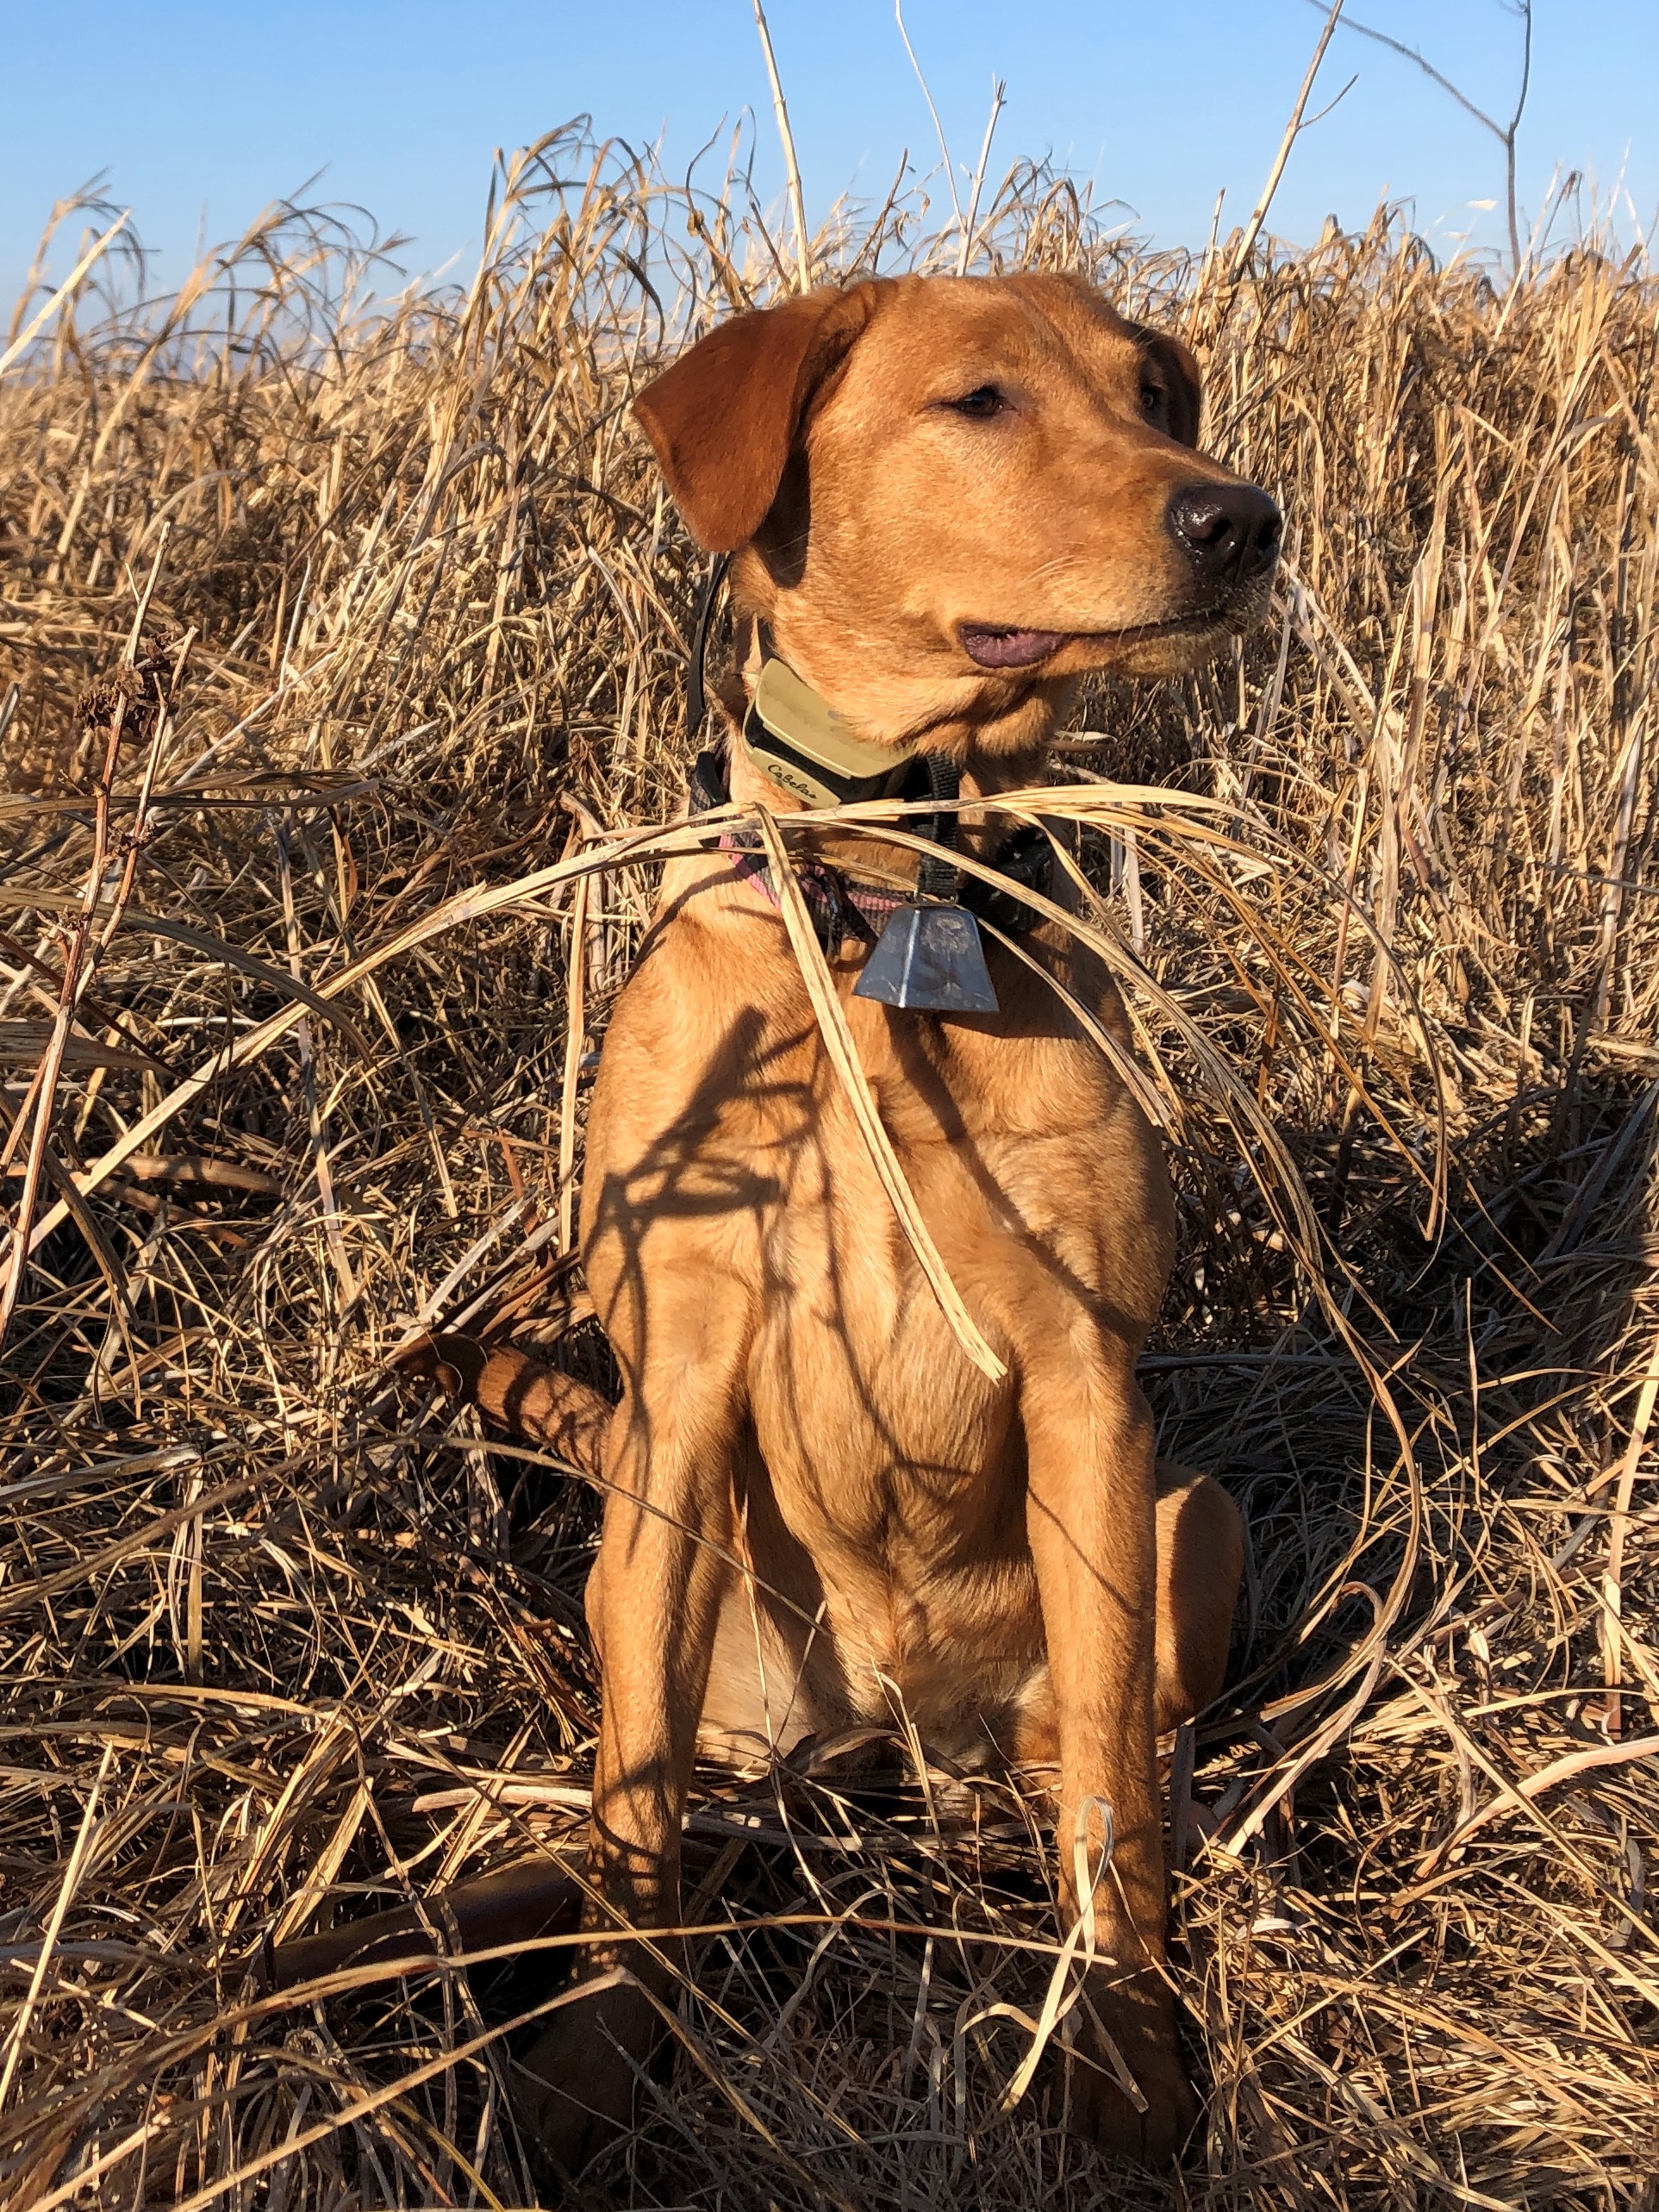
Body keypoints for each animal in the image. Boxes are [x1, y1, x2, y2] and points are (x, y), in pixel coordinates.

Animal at [435, 272, 1282, 2159]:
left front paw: (1123, 2046)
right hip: (644, 1572)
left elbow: (1116, 1801)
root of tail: (901, 1730)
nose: (1241, 518)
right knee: (649, 1777)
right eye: (977, 400)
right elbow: (631, 1815)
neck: (887, 902)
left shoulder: (1087, 1388)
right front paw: (600, 2056)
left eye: (1152, 392)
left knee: (1088, 1753)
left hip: (1184, 1518)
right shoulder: (678, 1392)